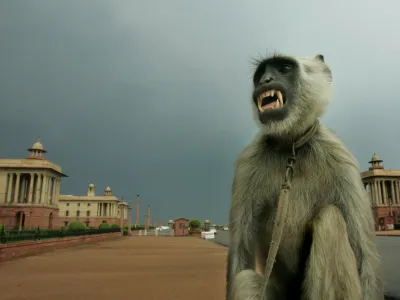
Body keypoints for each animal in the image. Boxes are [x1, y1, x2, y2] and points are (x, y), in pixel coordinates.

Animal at [227, 53, 382, 300]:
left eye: (284, 68)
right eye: (261, 74)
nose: (266, 80)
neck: (291, 146)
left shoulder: (341, 159)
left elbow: (364, 257)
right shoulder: (247, 162)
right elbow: (240, 254)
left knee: (329, 220)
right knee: (245, 281)